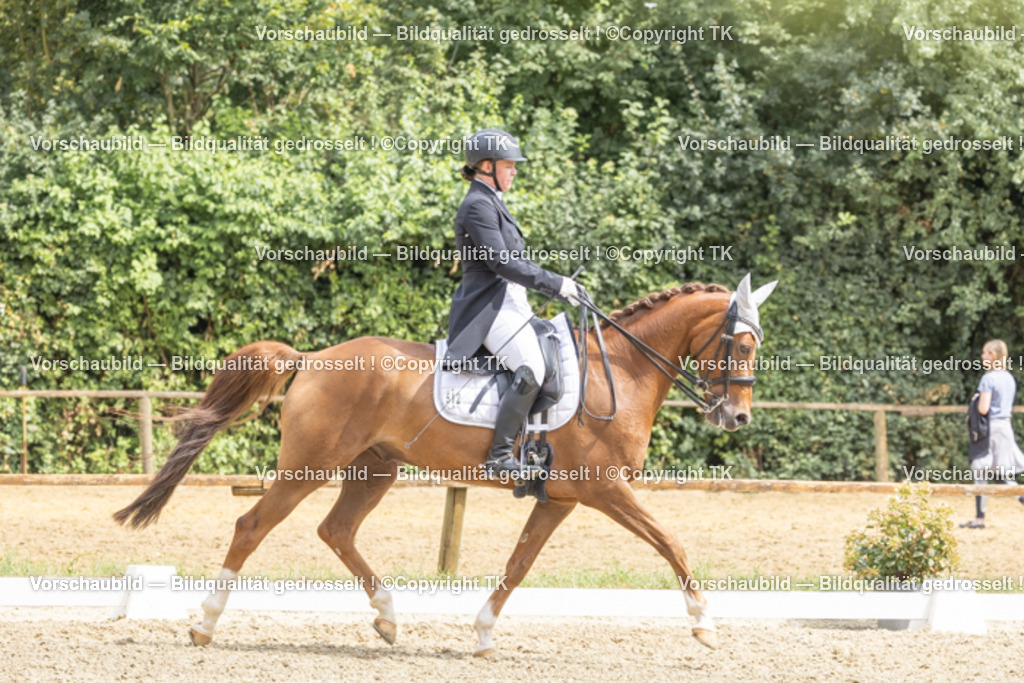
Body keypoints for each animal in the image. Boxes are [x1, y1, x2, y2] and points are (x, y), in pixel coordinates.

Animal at [114, 274, 777, 655]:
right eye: (742, 344)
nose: (738, 417)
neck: (621, 369)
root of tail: (313, 357)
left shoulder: (561, 500)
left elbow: (519, 564)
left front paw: (482, 635)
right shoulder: (605, 490)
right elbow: (671, 542)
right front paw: (704, 624)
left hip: (374, 469)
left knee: (337, 530)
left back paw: (387, 619)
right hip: (312, 466)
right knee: (253, 525)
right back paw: (204, 625)